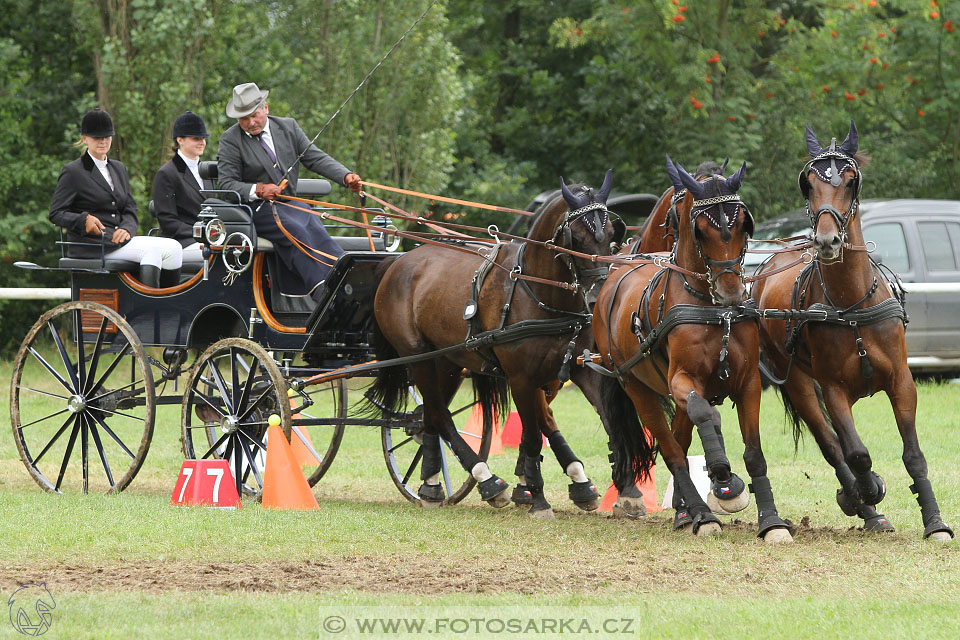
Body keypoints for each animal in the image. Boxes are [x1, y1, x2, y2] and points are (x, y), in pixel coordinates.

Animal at [368, 172, 632, 516]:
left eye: (611, 234)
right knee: (439, 415)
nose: (598, 294)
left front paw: (609, 484)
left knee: (431, 414)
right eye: (575, 236)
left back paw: (431, 485)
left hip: (447, 361)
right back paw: (487, 480)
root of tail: (398, 262)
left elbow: (606, 424)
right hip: (417, 356)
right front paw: (538, 498)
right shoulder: (521, 378)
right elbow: (532, 435)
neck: (540, 294)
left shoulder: (578, 370)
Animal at [592, 156, 796, 540]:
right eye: (699, 229)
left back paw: (686, 512)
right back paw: (701, 514)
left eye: (744, 224)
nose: (731, 292)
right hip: (637, 387)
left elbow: (754, 453)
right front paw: (723, 478)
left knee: (680, 441)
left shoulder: (748, 383)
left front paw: (772, 522)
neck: (713, 308)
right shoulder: (683, 381)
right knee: (673, 450)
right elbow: (707, 416)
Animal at [756, 121, 952, 540]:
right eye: (809, 184)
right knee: (831, 444)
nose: (827, 241)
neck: (851, 306)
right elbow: (856, 452)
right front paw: (867, 490)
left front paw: (935, 522)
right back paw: (863, 503)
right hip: (796, 382)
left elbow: (914, 454)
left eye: (850, 182)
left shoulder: (902, 381)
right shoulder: (833, 390)